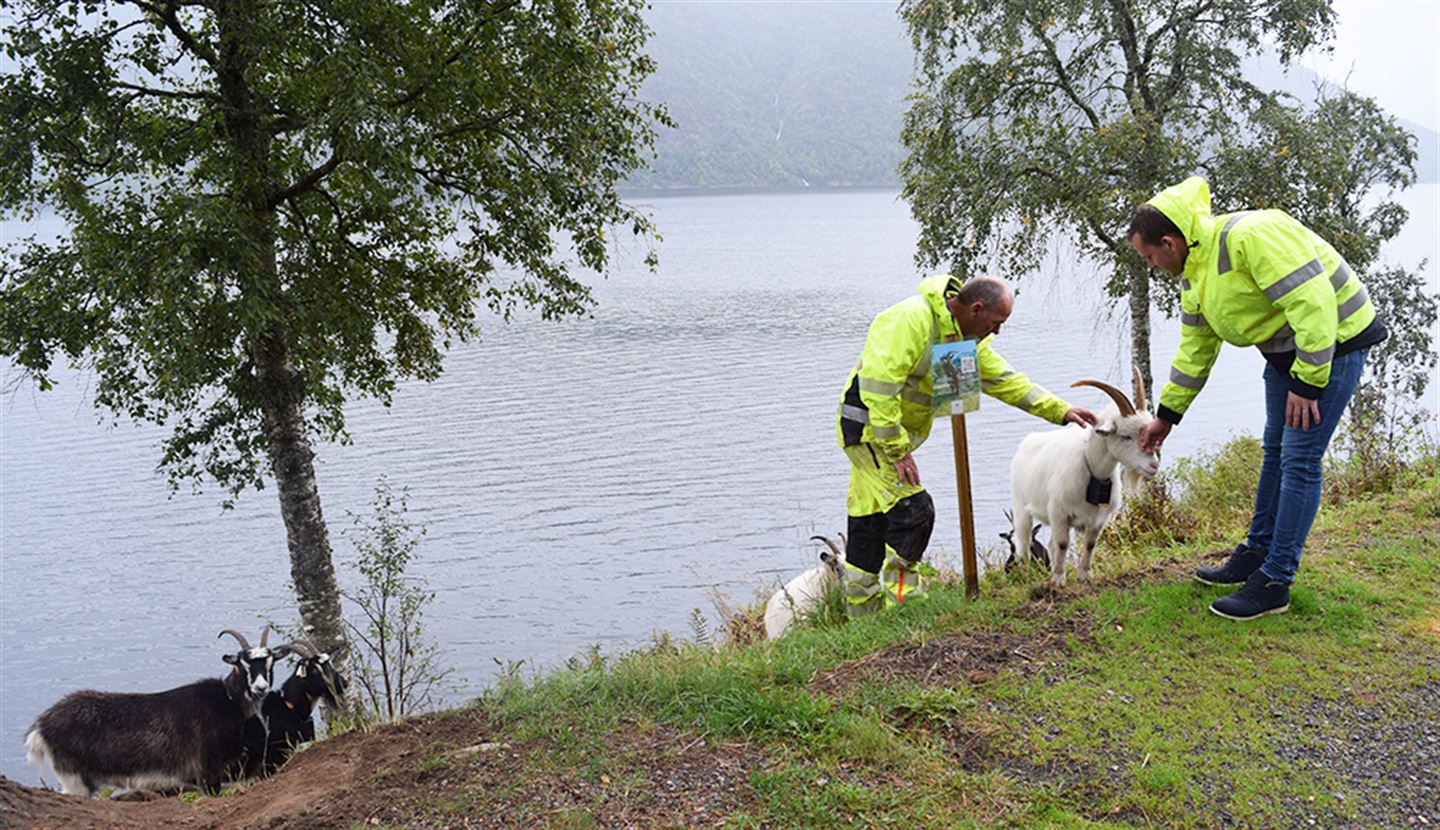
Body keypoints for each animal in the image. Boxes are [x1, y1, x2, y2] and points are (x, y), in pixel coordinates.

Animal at [1008, 368, 1163, 590]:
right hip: (1021, 507)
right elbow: (1062, 544)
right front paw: (1058, 580)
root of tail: (1028, 440)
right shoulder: (1059, 513)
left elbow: (1089, 545)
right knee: (1024, 543)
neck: (1093, 471)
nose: (1153, 466)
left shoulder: (1099, 519)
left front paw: (1084, 576)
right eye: (1125, 436)